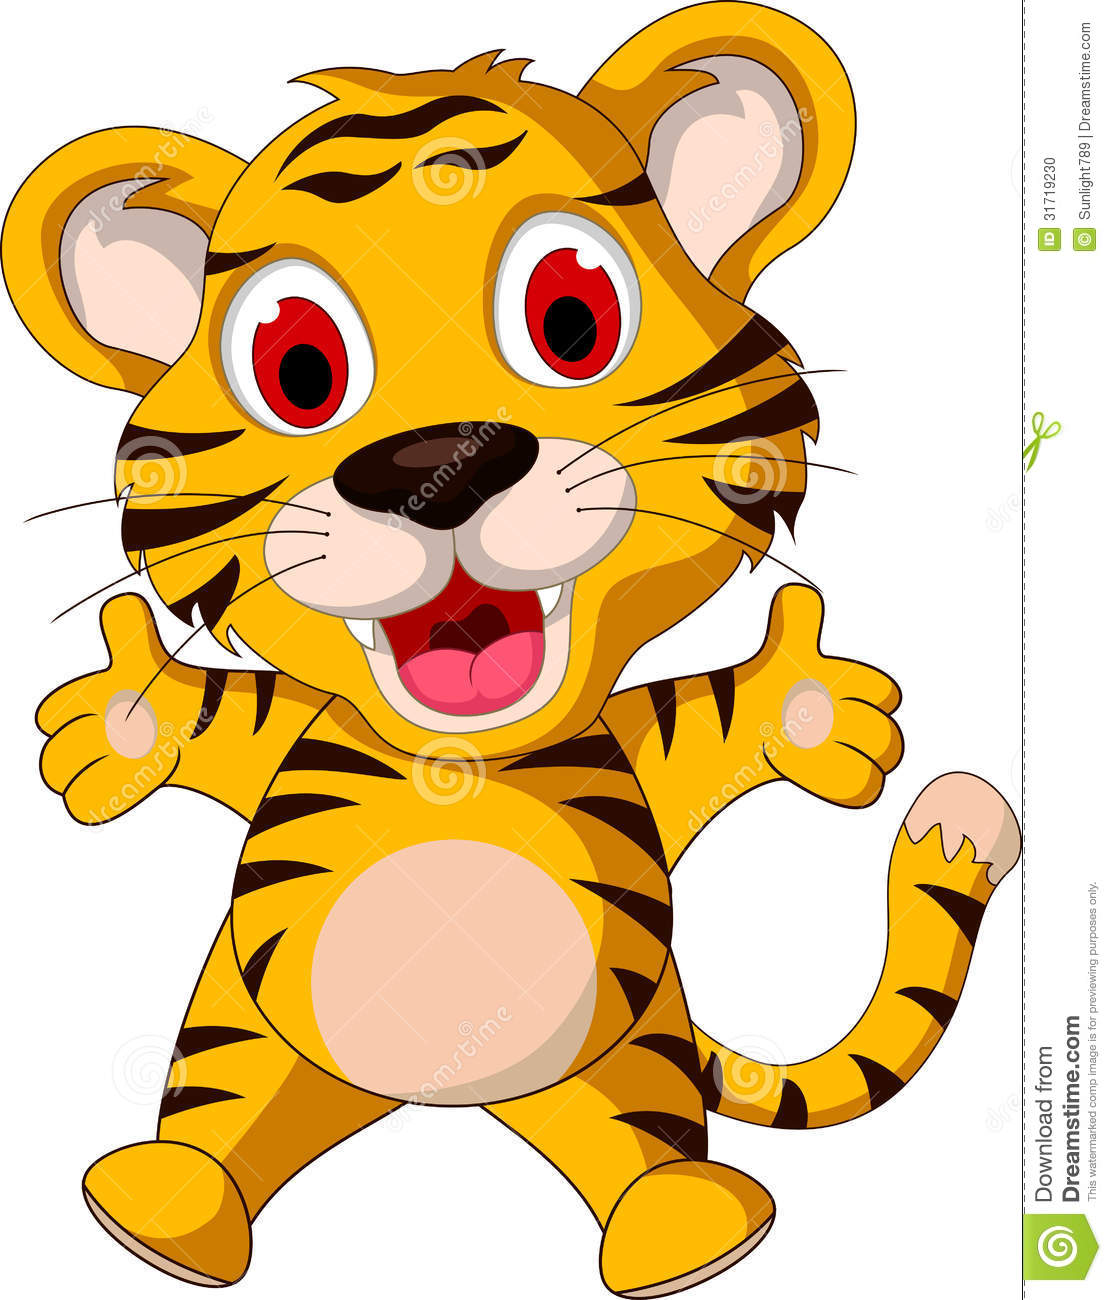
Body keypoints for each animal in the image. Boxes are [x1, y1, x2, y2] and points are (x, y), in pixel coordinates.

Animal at [2, 4, 1020, 1295]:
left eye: (571, 319)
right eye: (298, 367)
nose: (435, 460)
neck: (459, 763)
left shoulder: (648, 743)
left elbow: (726, 713)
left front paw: (810, 707)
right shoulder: (281, 733)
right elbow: (208, 717)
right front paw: (119, 718)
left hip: (623, 1061)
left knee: (641, 1143)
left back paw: (685, 1225)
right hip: (247, 1035)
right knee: (219, 1118)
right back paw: (162, 1205)